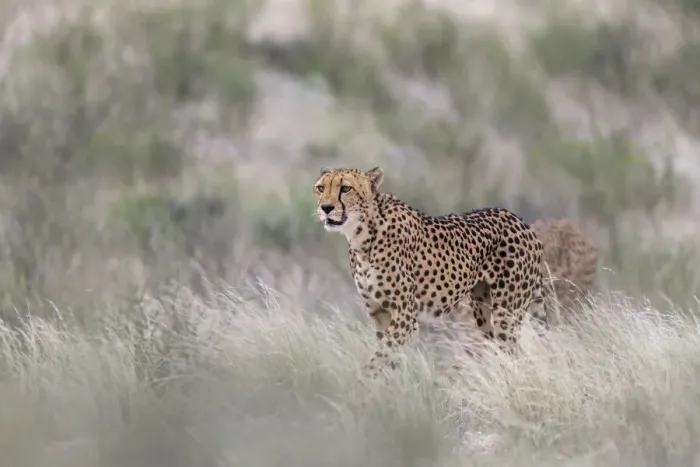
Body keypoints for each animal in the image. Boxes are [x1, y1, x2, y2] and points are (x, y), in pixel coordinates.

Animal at [314, 166, 547, 377]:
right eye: (320, 188)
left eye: (346, 188)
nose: (325, 208)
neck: (362, 236)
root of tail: (521, 222)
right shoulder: (379, 313)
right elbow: (388, 360)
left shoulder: (405, 316)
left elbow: (378, 360)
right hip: (484, 314)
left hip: (506, 317)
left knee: (520, 356)